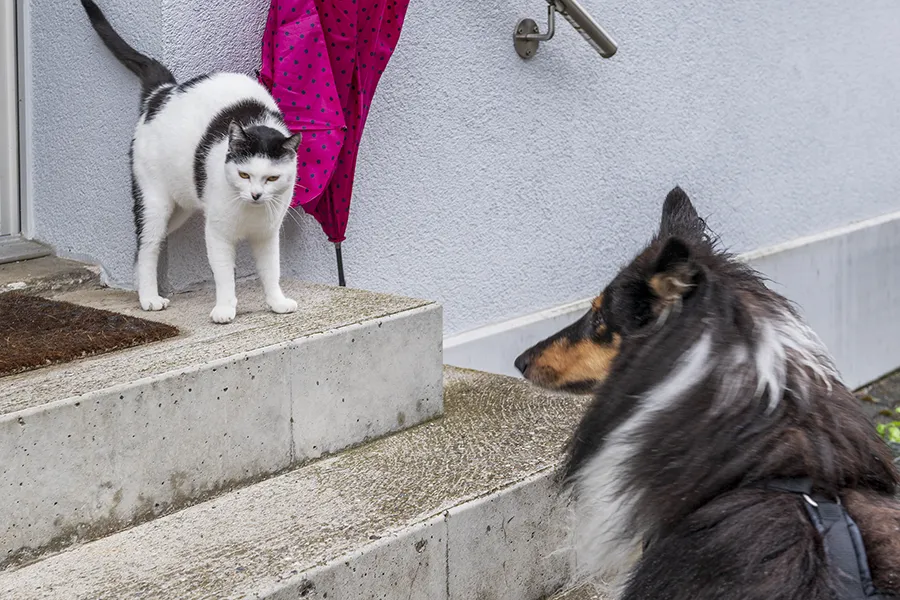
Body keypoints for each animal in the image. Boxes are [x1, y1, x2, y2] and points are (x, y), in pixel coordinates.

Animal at [81, 0, 298, 324]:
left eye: (272, 178)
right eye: (244, 175)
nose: (256, 195)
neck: (248, 211)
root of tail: (162, 93)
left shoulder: (267, 233)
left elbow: (272, 270)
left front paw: (277, 302)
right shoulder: (217, 232)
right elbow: (224, 274)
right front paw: (225, 309)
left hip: (180, 206)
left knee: (141, 247)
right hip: (154, 202)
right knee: (146, 246)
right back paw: (149, 298)